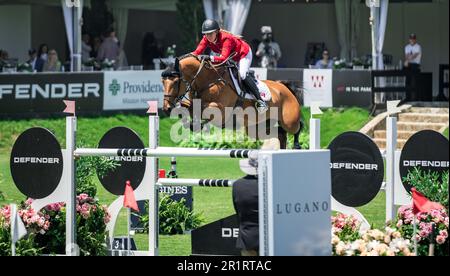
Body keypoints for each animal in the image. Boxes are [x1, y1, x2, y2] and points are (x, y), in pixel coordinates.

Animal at [160, 53, 304, 149]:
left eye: (176, 81)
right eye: (162, 81)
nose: (167, 108)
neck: (208, 81)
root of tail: (285, 88)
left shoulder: (221, 112)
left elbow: (206, 110)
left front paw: (194, 124)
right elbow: (188, 107)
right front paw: (188, 121)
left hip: (289, 122)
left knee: (296, 127)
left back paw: (297, 145)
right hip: (257, 127)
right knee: (280, 134)